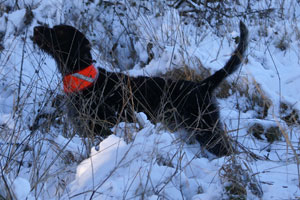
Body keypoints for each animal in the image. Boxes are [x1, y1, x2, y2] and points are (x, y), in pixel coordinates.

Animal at [32, 21, 248, 156]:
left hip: (206, 128)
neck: (85, 79)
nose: (35, 29)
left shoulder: (104, 129)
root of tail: (201, 85)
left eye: (59, 31)